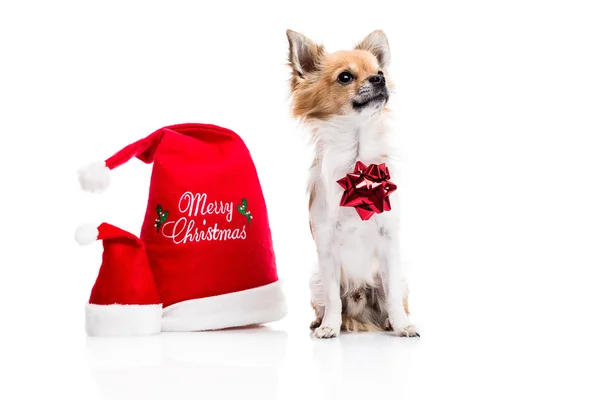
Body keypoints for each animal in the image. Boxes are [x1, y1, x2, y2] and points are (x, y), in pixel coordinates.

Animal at [286, 29, 418, 340]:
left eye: (379, 71)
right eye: (345, 77)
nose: (379, 79)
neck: (356, 159)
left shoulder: (389, 239)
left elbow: (393, 298)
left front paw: (402, 325)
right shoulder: (326, 247)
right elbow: (333, 299)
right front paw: (329, 327)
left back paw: (389, 322)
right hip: (316, 280)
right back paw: (319, 322)